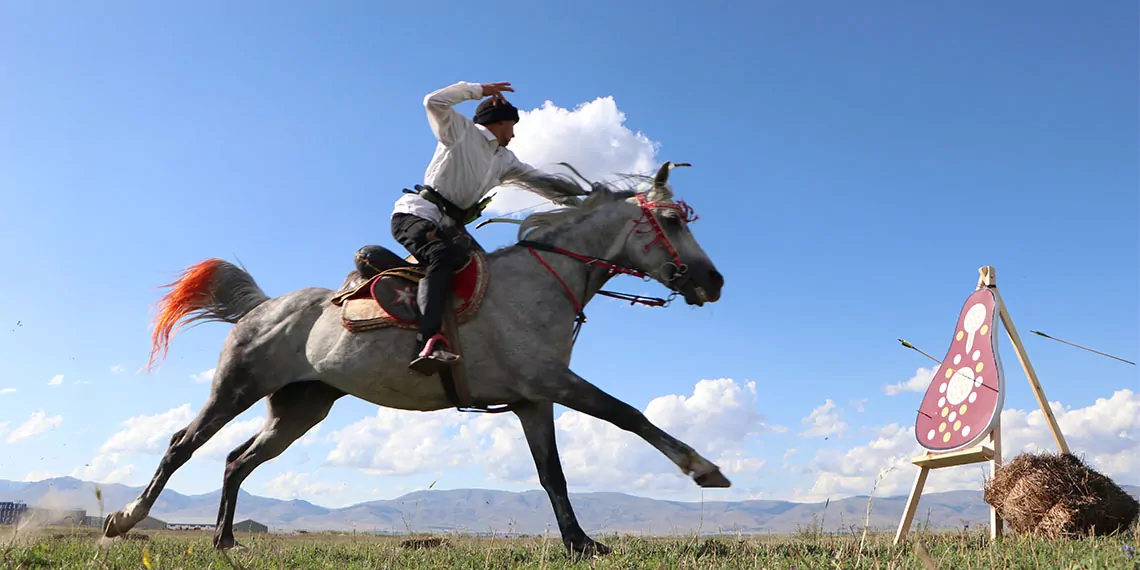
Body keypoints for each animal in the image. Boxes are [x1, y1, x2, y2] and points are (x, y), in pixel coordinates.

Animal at [104, 160, 729, 556]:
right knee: (182, 446)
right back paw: (125, 519)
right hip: (236, 387)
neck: (541, 283)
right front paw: (704, 468)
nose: (713, 281)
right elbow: (629, 415)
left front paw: (581, 544)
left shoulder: (533, 400)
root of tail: (262, 307)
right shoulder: (555, 382)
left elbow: (553, 475)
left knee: (237, 461)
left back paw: (224, 540)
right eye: (671, 220)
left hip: (299, 409)